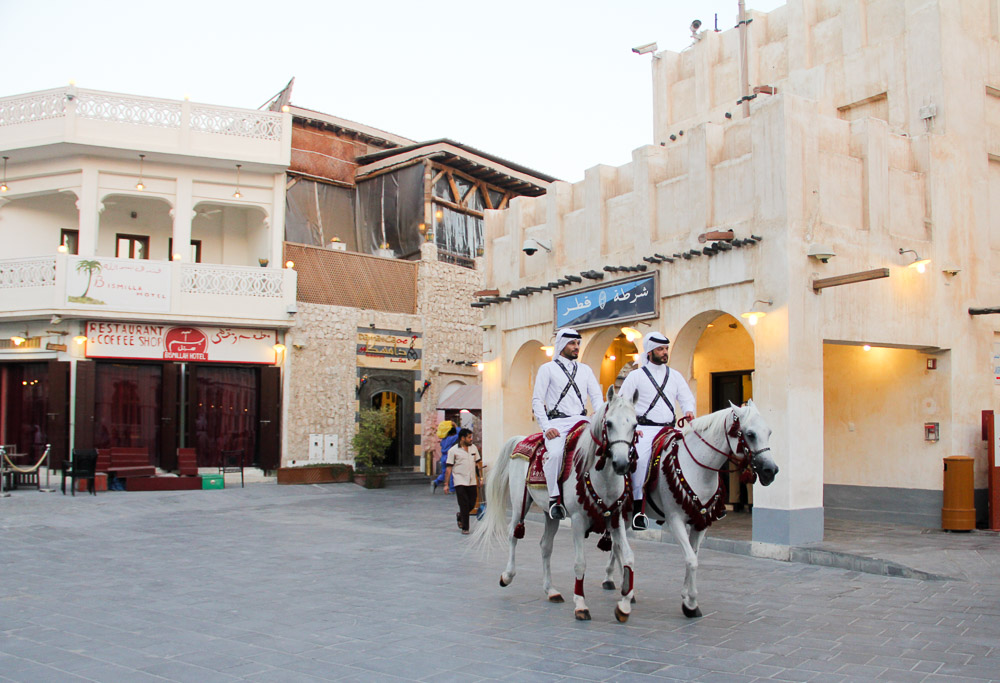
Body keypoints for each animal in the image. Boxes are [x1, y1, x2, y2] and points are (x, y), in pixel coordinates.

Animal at [476, 388, 640, 624]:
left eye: (635, 424)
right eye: (608, 423)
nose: (621, 464)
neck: (603, 477)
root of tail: (523, 439)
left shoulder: (615, 519)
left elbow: (628, 557)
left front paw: (624, 605)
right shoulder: (579, 521)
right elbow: (580, 563)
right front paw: (581, 605)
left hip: (550, 513)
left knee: (545, 546)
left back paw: (551, 590)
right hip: (519, 504)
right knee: (513, 535)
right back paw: (507, 576)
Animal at [608, 400, 780, 620]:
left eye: (769, 432)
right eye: (750, 434)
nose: (770, 471)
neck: (699, 468)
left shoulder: (700, 522)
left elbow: (694, 557)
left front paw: (689, 600)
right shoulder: (675, 521)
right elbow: (691, 559)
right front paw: (690, 603)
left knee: (616, 545)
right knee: (618, 544)